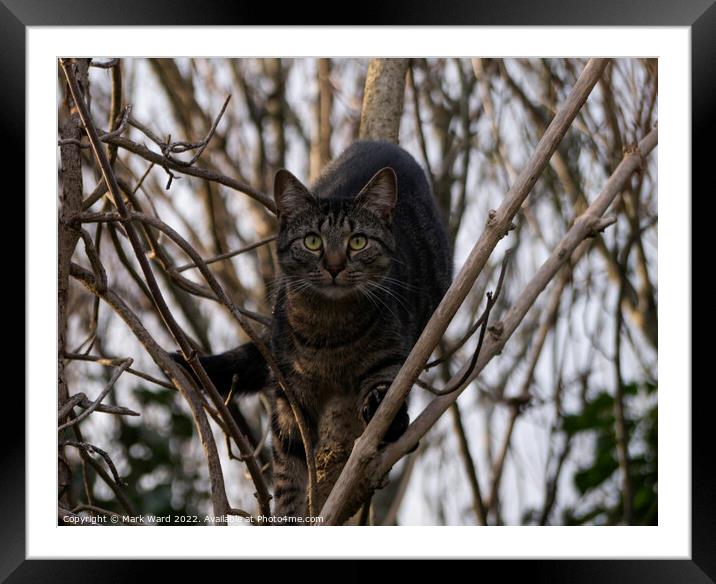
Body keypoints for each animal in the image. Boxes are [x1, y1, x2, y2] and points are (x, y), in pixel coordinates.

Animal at [176, 140, 450, 520]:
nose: (334, 266)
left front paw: (387, 414)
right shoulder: (290, 394)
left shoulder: (391, 358)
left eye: (358, 242)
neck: (331, 330)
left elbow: (387, 390)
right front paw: (288, 515)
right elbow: (289, 471)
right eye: (312, 242)